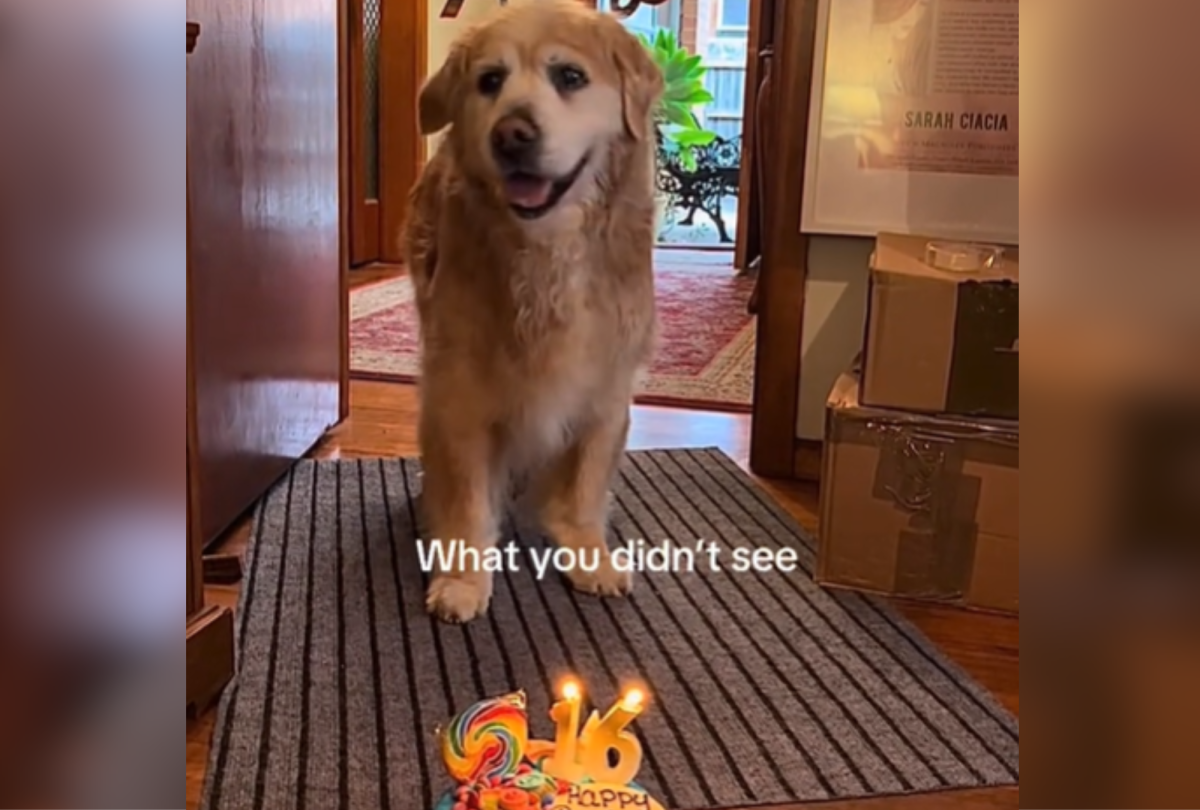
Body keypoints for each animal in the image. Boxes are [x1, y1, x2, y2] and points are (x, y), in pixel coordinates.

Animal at [403, 0, 667, 624]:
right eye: (489, 81)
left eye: (569, 76)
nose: (511, 134)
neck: (547, 253)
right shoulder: (460, 392)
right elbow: (467, 496)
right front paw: (463, 578)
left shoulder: (605, 388)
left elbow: (583, 484)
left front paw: (587, 552)